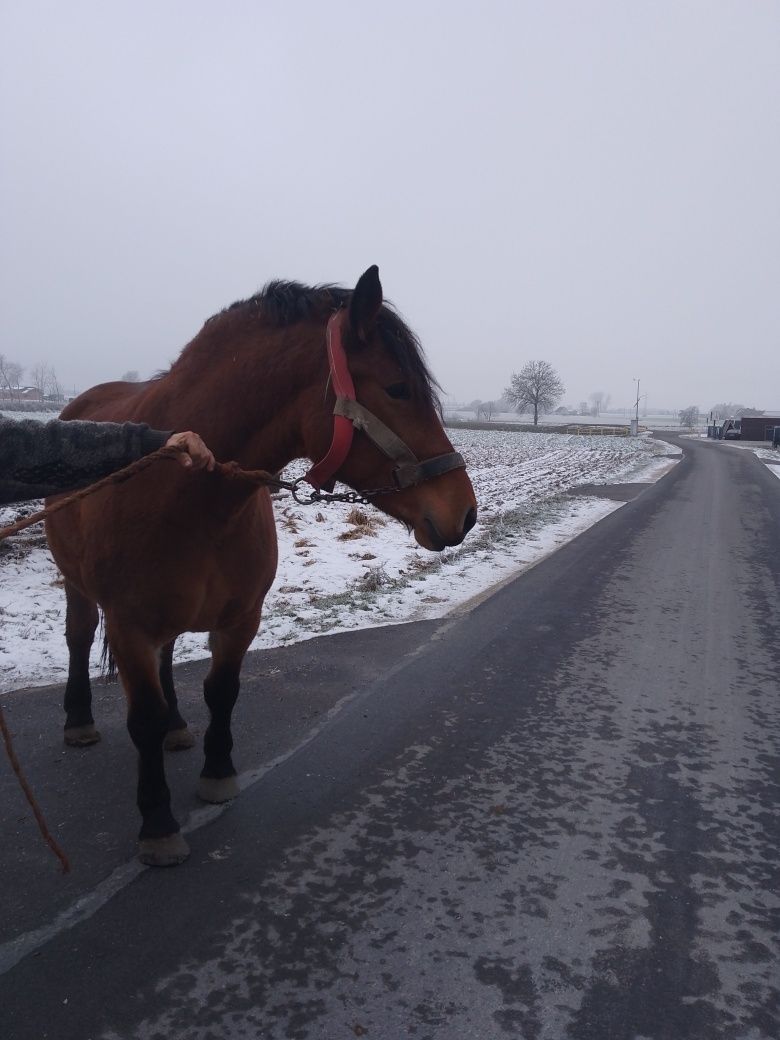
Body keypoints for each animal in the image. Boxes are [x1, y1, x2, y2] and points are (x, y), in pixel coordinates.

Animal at [48, 264, 480, 865]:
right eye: (398, 388)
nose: (465, 512)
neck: (188, 496)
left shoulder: (241, 619)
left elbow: (221, 692)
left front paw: (216, 773)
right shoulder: (130, 626)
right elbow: (142, 718)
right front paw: (157, 822)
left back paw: (178, 728)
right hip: (77, 585)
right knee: (79, 635)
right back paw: (80, 721)